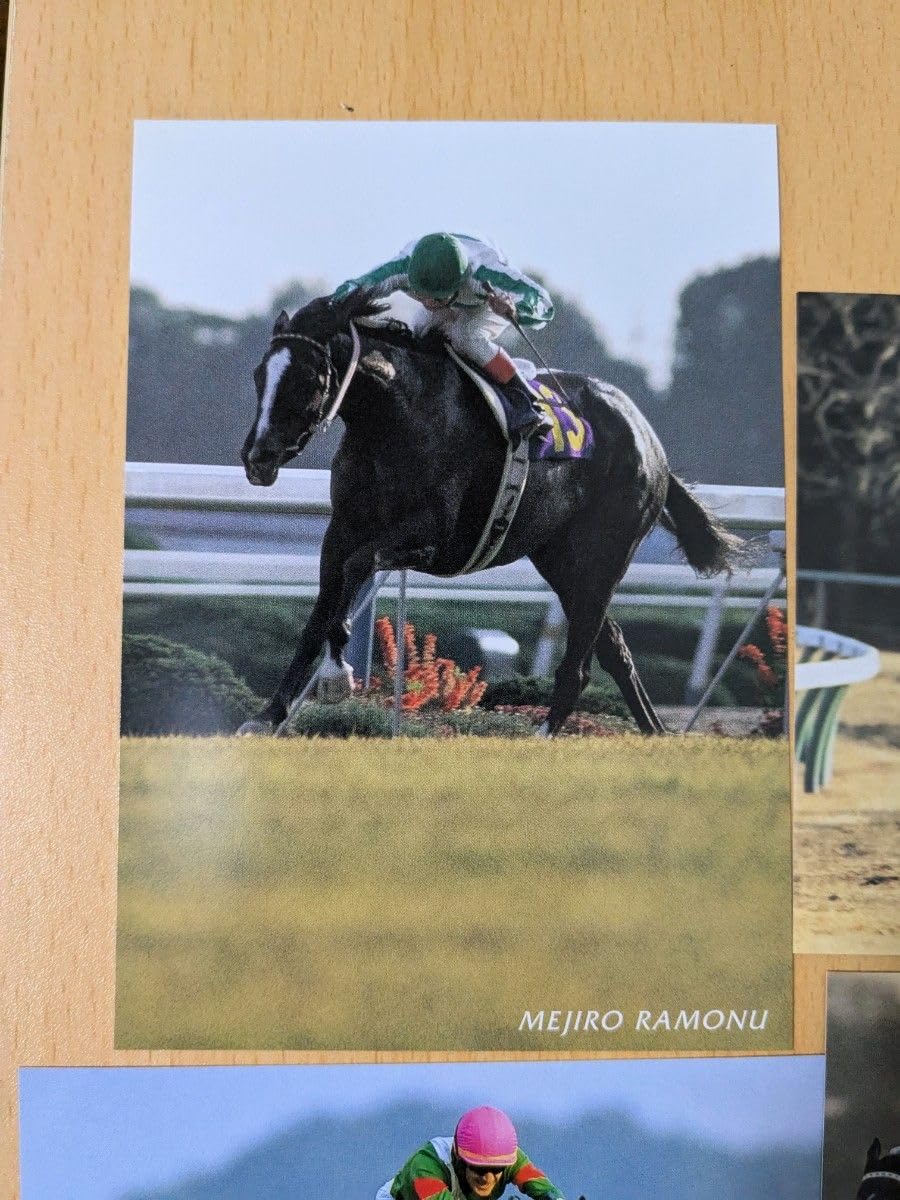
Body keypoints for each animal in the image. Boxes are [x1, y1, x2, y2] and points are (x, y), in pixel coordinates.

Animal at [239, 287, 744, 736]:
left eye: (309, 378)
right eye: (259, 375)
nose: (257, 458)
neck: (396, 418)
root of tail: (649, 439)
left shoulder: (431, 537)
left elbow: (358, 567)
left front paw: (338, 666)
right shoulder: (342, 529)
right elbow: (319, 612)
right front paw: (269, 715)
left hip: (603, 557)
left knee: (581, 665)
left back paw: (546, 733)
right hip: (562, 561)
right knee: (615, 651)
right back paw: (653, 732)